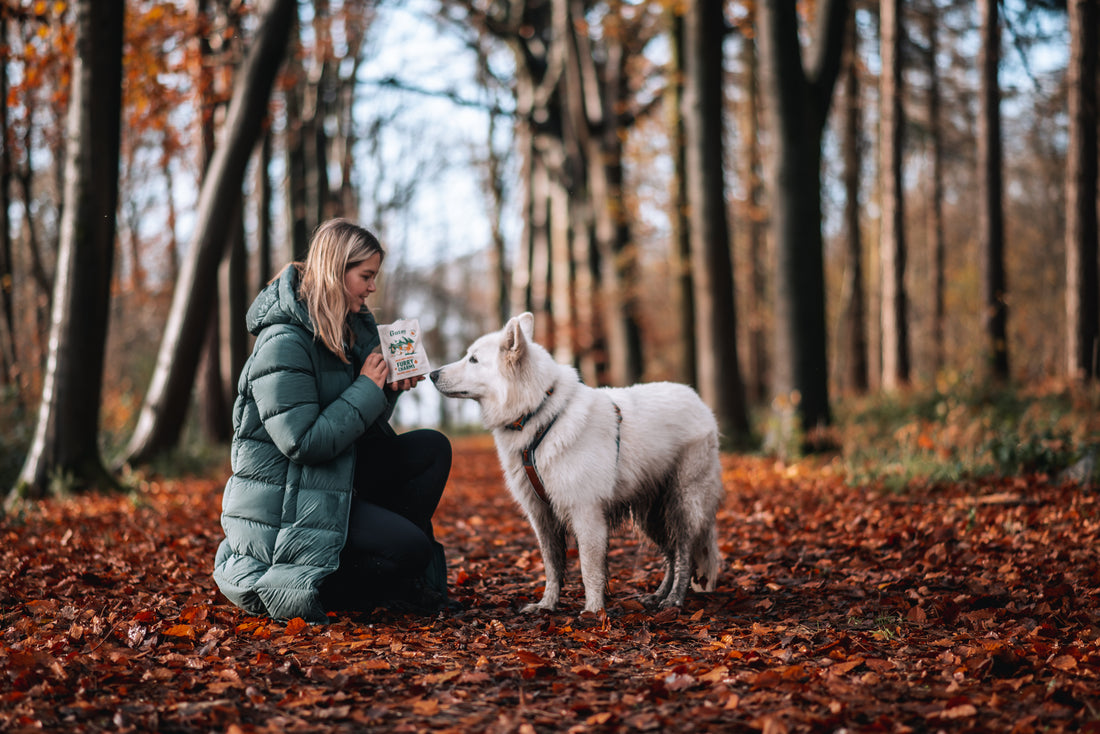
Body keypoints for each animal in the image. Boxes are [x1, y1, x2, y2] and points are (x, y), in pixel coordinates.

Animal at [426, 314, 721, 616]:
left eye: (473, 359)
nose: (432, 374)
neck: (539, 415)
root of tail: (698, 401)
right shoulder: (542, 517)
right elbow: (552, 567)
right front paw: (547, 604)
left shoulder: (586, 513)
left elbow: (589, 568)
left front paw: (593, 611)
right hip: (651, 516)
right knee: (671, 554)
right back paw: (658, 596)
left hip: (683, 504)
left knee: (684, 553)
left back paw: (674, 599)